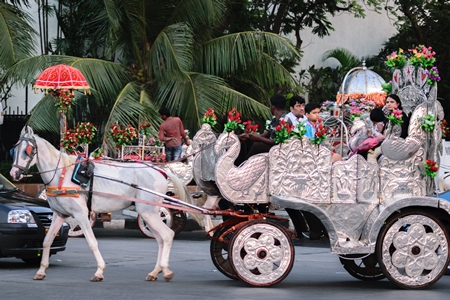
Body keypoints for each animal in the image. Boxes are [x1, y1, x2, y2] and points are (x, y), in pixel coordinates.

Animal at [8, 126, 192, 282]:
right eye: (13, 150)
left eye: (27, 150)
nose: (14, 173)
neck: (62, 174)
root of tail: (160, 171)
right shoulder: (59, 214)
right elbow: (47, 240)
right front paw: (41, 271)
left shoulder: (81, 214)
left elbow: (92, 242)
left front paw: (99, 271)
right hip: (149, 212)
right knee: (160, 239)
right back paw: (155, 271)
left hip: (149, 211)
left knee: (167, 235)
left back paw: (165, 270)